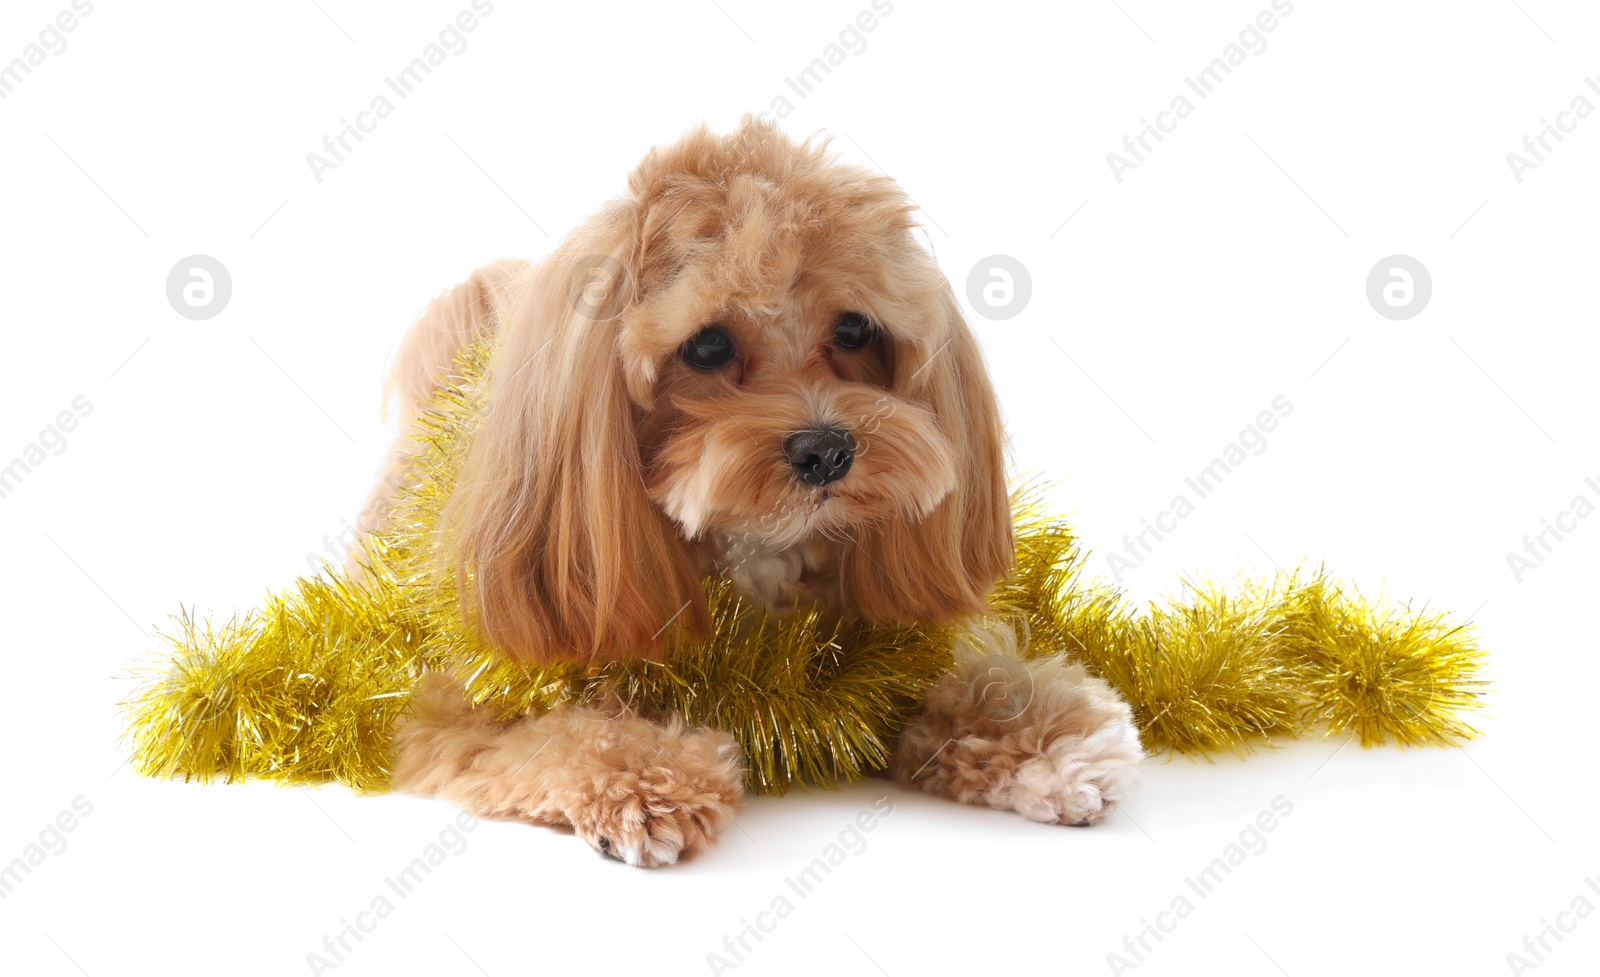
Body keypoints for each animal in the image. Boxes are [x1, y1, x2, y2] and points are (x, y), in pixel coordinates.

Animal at [374, 118, 1145, 869]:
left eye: (855, 328)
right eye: (707, 346)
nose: (826, 450)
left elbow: (972, 680)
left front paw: (1050, 741)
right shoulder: (456, 706)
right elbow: (559, 727)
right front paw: (641, 773)